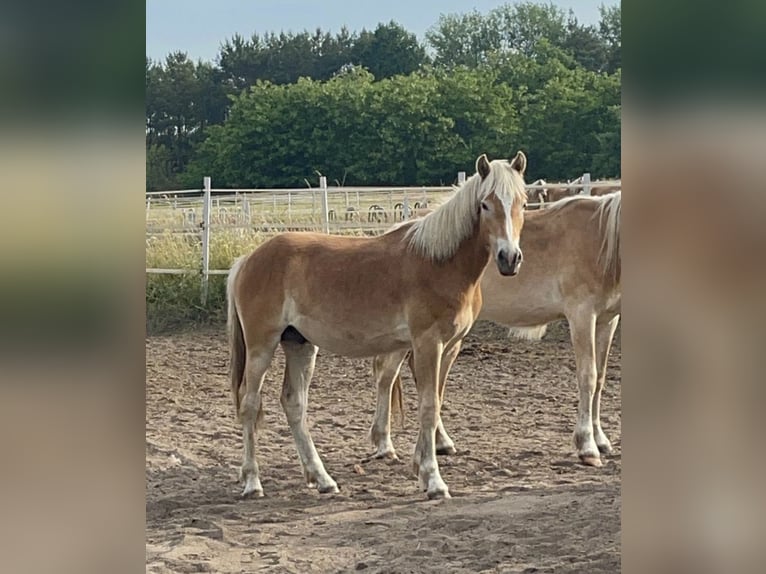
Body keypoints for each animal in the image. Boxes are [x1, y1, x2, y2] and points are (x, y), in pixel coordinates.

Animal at [225, 152, 532, 500]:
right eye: (485, 204)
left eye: (523, 202)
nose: (510, 258)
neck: (439, 263)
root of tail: (248, 259)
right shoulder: (428, 343)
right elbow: (428, 407)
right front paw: (433, 480)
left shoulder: (450, 347)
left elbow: (435, 402)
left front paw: (421, 467)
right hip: (261, 347)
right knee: (250, 404)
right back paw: (253, 482)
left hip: (300, 344)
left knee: (294, 404)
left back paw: (322, 478)